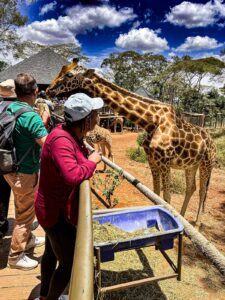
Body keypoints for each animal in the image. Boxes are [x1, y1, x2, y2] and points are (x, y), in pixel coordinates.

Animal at [46, 61, 217, 224]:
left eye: (69, 75)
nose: (48, 90)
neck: (150, 122)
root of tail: (212, 142)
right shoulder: (153, 160)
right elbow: (156, 194)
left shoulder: (165, 162)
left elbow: (166, 199)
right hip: (191, 165)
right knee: (191, 188)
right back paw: (182, 215)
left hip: (207, 163)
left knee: (202, 190)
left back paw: (197, 224)